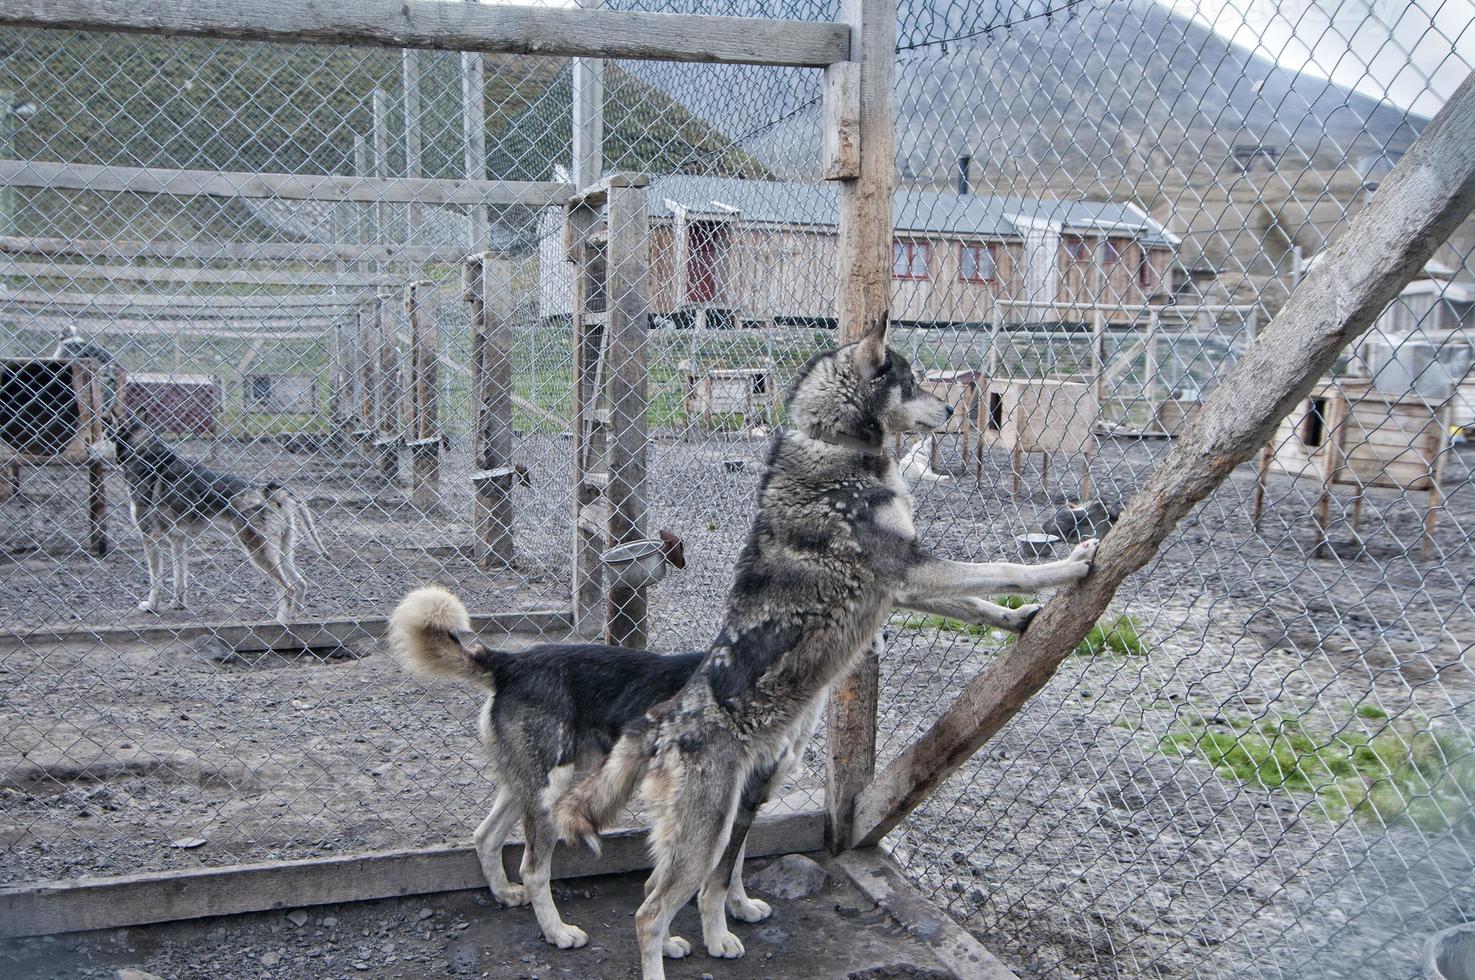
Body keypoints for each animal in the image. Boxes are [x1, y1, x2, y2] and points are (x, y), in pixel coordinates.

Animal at [110, 419, 324, 619]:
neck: (150, 460)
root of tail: (270, 491)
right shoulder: (178, 540)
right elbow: (180, 579)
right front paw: (178, 604)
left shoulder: (150, 537)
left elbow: (156, 582)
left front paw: (152, 607)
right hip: (282, 553)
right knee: (301, 584)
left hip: (258, 553)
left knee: (288, 590)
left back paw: (279, 623)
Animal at [383, 584, 808, 950]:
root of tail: (511, 664)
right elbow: (718, 876)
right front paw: (719, 937)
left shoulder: (741, 800)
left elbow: (731, 867)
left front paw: (741, 907)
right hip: (551, 791)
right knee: (533, 869)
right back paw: (557, 933)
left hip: (530, 783)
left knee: (485, 836)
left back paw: (503, 894)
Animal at [554, 315, 1097, 980]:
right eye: (910, 380)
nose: (952, 407)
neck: (833, 447)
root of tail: (665, 719)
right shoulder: (910, 573)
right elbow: (1006, 569)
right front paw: (1070, 565)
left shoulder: (904, 586)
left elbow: (979, 602)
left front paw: (1020, 622)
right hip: (707, 832)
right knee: (649, 912)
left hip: (728, 812)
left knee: (679, 890)